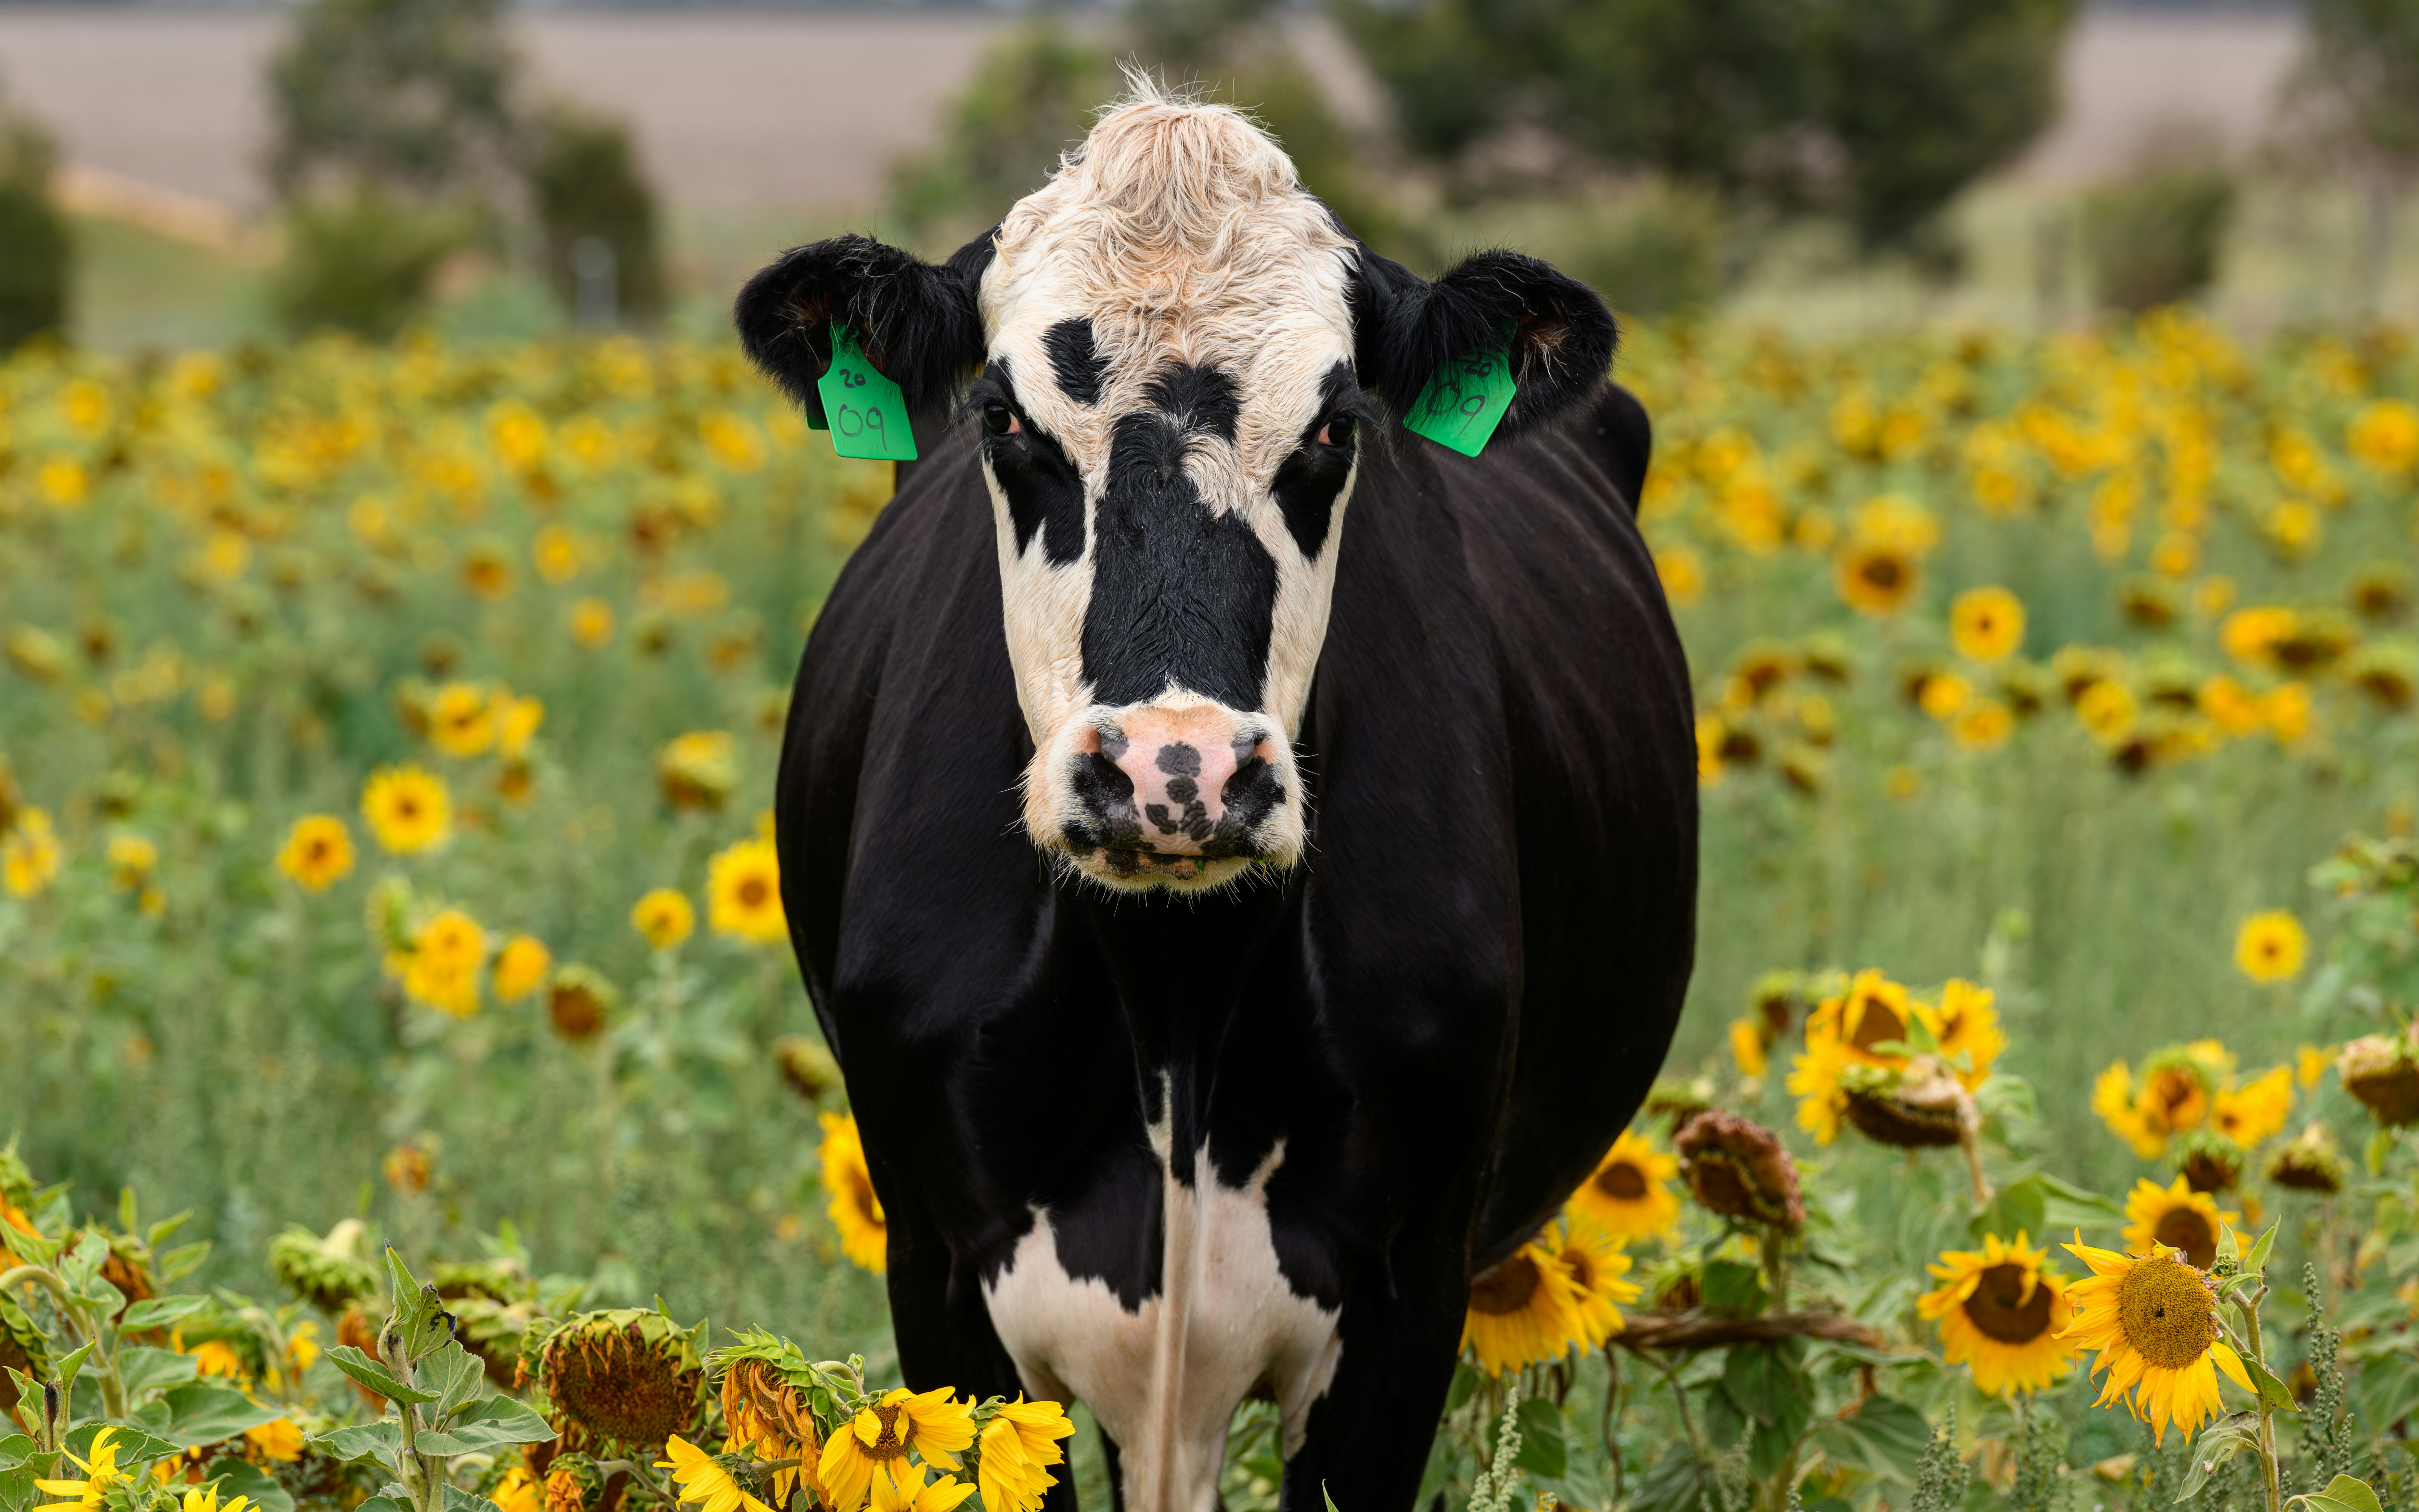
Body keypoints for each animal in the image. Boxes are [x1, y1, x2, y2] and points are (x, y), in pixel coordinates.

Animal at [739, 82, 1697, 1512]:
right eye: (1004, 418)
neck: (1171, 997)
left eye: (1335, 424)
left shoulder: (1409, 1291)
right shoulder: (940, 1270)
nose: (1170, 770)